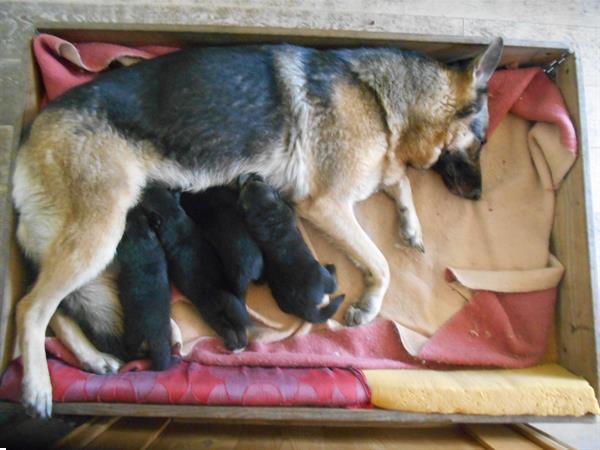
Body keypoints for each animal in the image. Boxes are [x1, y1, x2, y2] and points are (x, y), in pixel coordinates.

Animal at [141, 185, 248, 352]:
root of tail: (221, 293)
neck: (172, 213)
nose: (147, 186)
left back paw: (231, 344)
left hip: (212, 315)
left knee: (226, 329)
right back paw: (241, 342)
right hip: (234, 312)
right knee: (240, 327)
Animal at [238, 173, 344, 324]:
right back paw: (331, 268)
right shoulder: (287, 210)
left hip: (283, 304)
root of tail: (303, 306)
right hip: (322, 276)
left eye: (248, 185)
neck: (265, 213)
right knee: (333, 286)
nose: (255, 177)